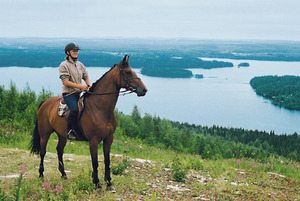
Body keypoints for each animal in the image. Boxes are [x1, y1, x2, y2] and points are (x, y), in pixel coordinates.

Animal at [29, 55, 147, 192]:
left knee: (59, 150)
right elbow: (95, 162)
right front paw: (97, 183)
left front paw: (109, 183)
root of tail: (45, 103)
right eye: (128, 72)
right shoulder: (93, 141)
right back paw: (41, 175)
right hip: (45, 134)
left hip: (62, 135)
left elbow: (107, 160)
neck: (100, 109)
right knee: (43, 152)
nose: (144, 90)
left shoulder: (108, 139)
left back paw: (63, 174)